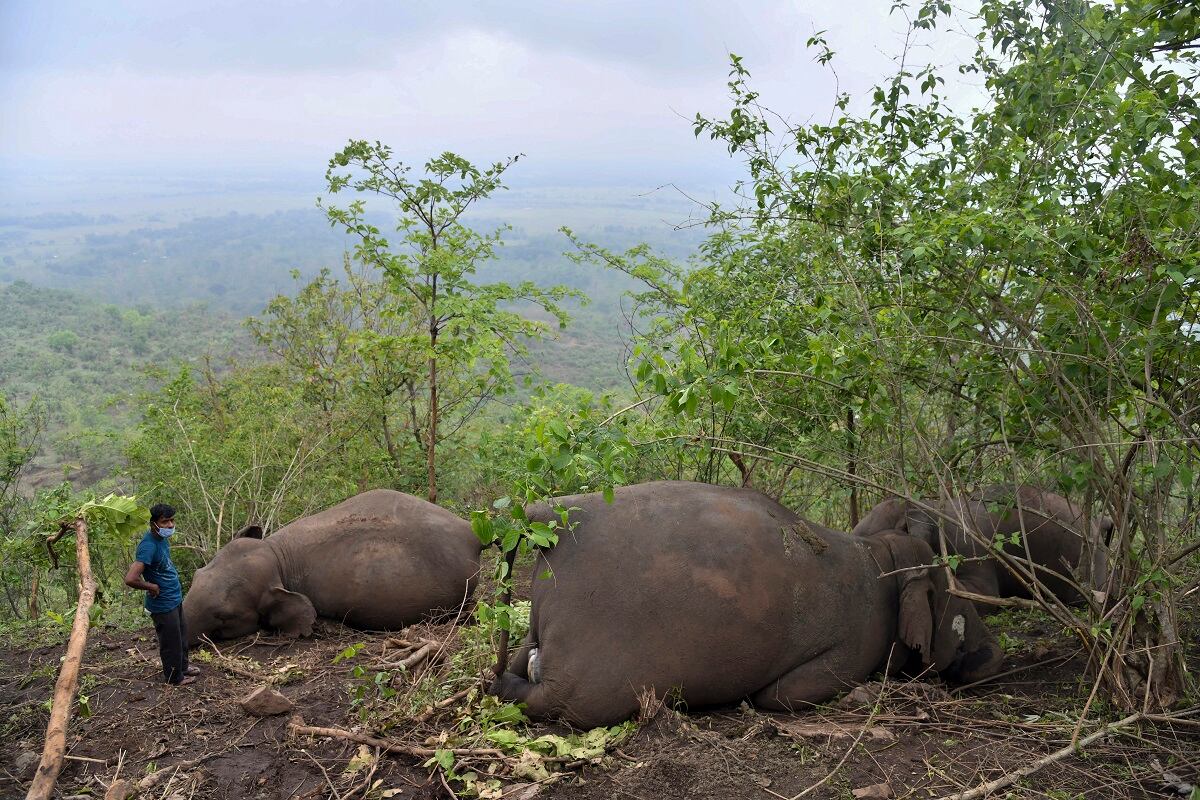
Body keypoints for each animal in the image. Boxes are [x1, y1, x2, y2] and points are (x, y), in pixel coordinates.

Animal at [490, 481, 1002, 728]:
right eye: (957, 599)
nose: (995, 654)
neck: (884, 557)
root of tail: (545, 513)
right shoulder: (854, 647)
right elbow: (781, 696)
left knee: (511, 677)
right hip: (588, 684)